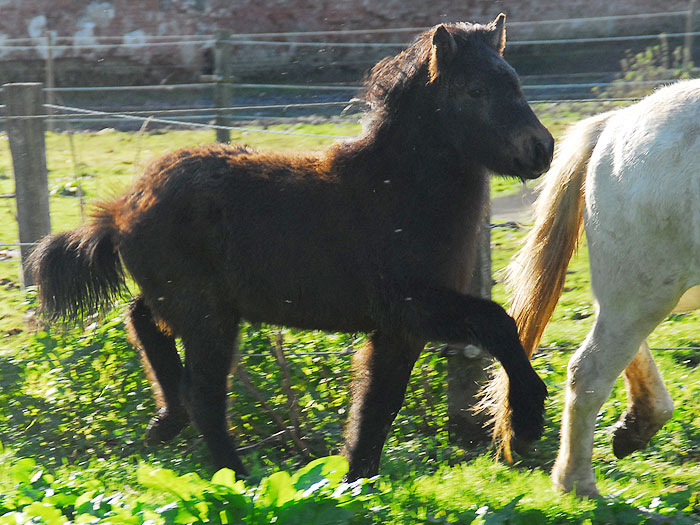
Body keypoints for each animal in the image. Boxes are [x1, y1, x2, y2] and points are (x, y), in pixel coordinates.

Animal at [28, 14, 552, 480]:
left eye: (515, 82)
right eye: (475, 91)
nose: (541, 149)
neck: (398, 190)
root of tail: (121, 208)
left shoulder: (399, 329)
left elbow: (375, 409)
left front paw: (354, 487)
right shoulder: (414, 307)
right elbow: (497, 324)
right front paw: (527, 423)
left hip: (186, 302)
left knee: (142, 322)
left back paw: (165, 422)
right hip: (208, 317)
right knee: (203, 396)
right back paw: (239, 481)